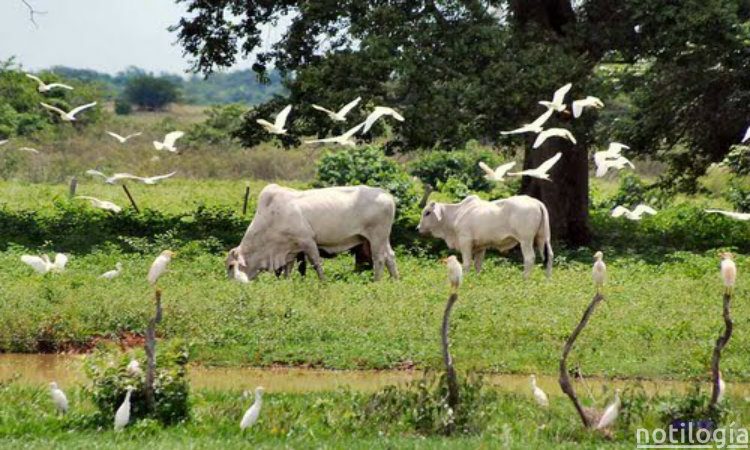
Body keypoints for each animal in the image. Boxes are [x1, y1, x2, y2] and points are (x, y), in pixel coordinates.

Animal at [228, 183, 400, 282]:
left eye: (230, 266)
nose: (230, 284)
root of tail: (386, 193)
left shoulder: (308, 241)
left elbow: (316, 263)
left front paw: (323, 282)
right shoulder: (290, 248)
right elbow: (288, 267)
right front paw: (286, 282)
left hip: (376, 236)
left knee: (379, 258)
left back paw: (376, 282)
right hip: (383, 238)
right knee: (390, 256)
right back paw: (395, 280)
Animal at [420, 196, 556, 280]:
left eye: (427, 212)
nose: (418, 228)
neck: (456, 215)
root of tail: (536, 202)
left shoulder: (465, 241)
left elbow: (467, 263)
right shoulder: (481, 246)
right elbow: (478, 264)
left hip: (525, 240)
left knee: (529, 258)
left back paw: (525, 279)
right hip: (544, 238)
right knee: (549, 255)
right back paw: (548, 280)